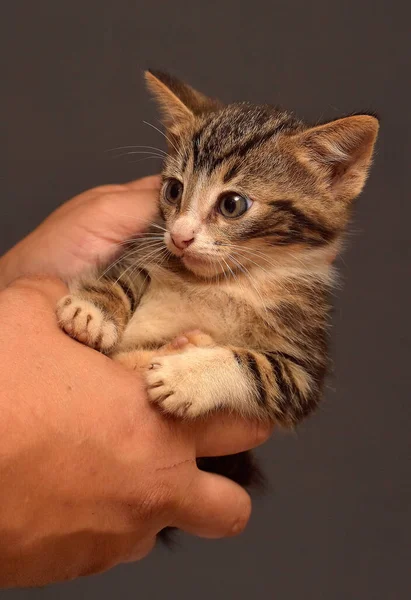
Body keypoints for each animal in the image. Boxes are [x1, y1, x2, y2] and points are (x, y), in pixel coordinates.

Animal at [55, 70, 380, 490]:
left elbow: (258, 367)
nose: (180, 237)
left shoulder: (305, 370)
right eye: (173, 190)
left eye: (232, 205)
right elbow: (129, 270)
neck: (225, 283)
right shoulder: (147, 245)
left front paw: (187, 377)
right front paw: (93, 309)